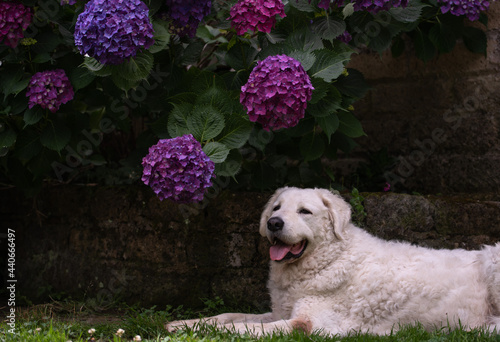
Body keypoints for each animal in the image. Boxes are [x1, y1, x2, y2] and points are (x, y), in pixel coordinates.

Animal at [168, 187, 500, 334]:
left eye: (304, 211)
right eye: (276, 207)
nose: (274, 223)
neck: (327, 260)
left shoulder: (308, 323)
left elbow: (242, 329)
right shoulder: (279, 311)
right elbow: (228, 316)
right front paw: (183, 323)